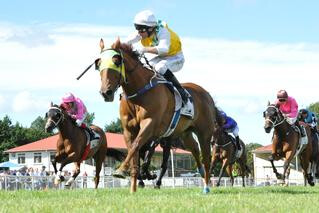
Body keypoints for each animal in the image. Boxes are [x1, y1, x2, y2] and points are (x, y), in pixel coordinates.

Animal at [97, 38, 218, 193]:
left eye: (116, 61)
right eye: (99, 63)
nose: (105, 92)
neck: (138, 93)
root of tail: (207, 94)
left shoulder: (150, 125)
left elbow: (137, 146)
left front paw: (122, 170)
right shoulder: (128, 130)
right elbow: (134, 152)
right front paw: (133, 187)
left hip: (204, 132)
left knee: (207, 157)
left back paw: (207, 186)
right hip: (185, 133)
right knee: (195, 149)